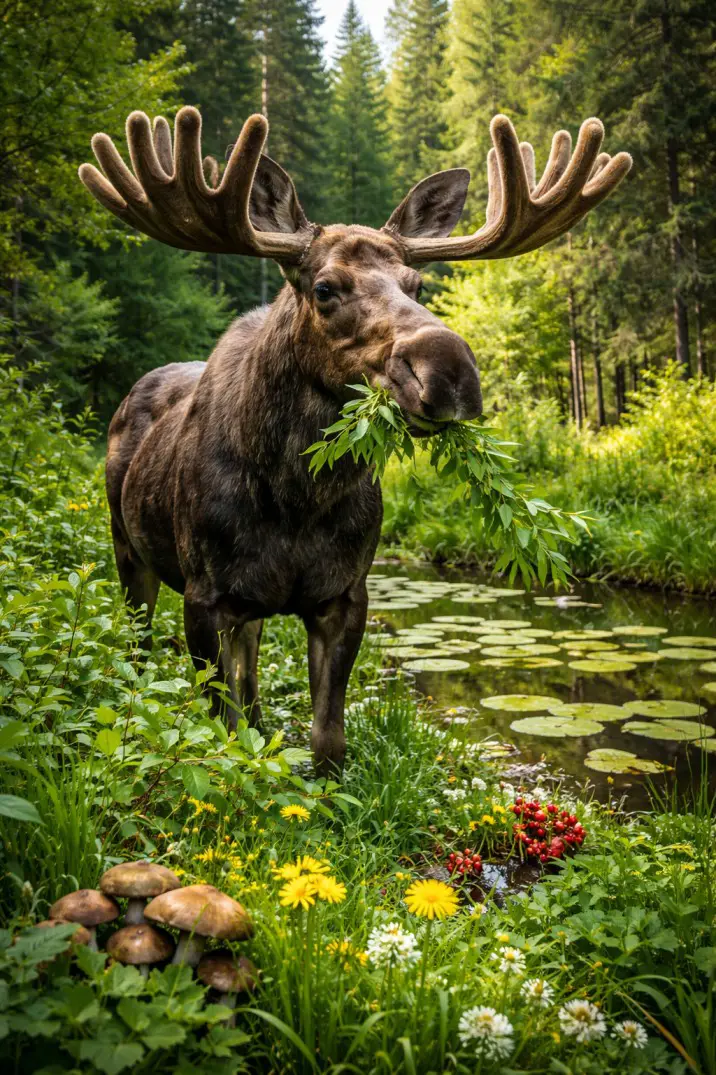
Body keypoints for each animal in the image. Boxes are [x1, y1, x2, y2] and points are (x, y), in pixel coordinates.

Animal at [79, 107, 631, 774]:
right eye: (324, 288)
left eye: (416, 284)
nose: (450, 371)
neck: (295, 499)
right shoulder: (204, 595)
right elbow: (221, 731)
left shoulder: (345, 595)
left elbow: (327, 738)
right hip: (127, 547)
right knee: (140, 649)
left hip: (240, 606)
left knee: (250, 675)